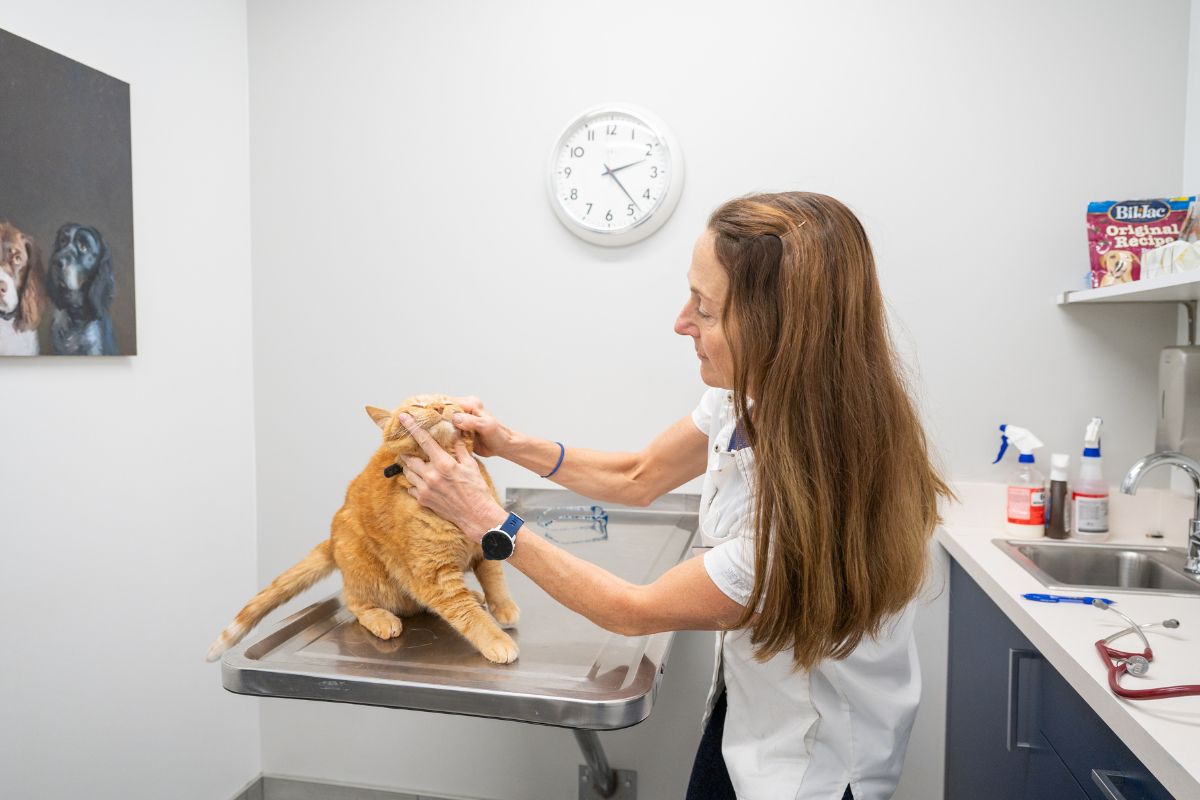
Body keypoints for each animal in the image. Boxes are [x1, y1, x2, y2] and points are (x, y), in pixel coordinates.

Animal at [205, 393, 520, 662]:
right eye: (417, 406)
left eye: (448, 401)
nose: (439, 408)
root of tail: (332, 539)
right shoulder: (434, 574)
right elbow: (467, 614)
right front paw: (496, 641)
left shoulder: (485, 541)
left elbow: (495, 579)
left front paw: (502, 607)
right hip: (364, 567)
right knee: (355, 603)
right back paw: (380, 618)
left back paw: (475, 596)